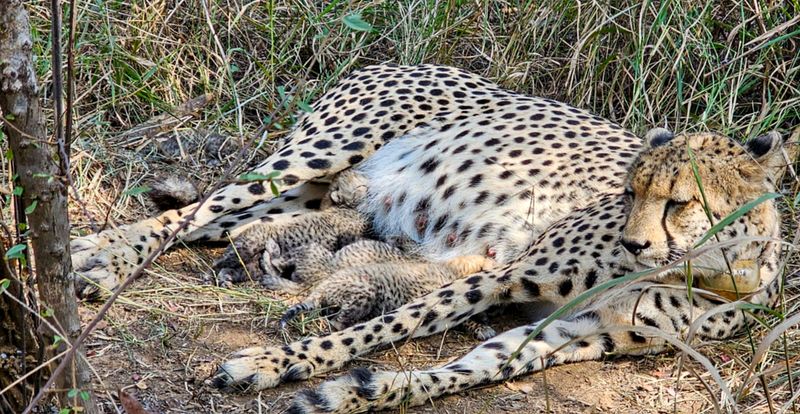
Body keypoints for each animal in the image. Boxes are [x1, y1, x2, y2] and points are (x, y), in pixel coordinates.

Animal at [67, 64, 793, 412]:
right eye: (628, 192)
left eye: (680, 202)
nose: (636, 244)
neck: (712, 270)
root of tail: (396, 60)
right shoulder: (505, 274)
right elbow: (391, 324)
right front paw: (276, 362)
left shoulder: (576, 331)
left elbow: (467, 369)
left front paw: (358, 393)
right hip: (314, 156)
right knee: (190, 214)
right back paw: (96, 258)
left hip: (311, 193)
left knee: (231, 225)